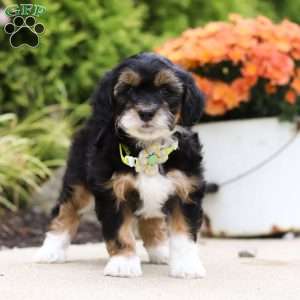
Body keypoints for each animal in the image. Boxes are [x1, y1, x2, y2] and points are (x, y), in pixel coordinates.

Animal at [35, 52, 206, 278]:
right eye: (128, 90)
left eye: (165, 90)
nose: (146, 112)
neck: (148, 149)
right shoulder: (112, 192)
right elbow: (120, 231)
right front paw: (123, 263)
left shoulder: (185, 188)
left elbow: (184, 233)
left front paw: (187, 266)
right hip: (78, 180)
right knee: (66, 210)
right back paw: (50, 251)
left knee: (150, 219)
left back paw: (160, 251)